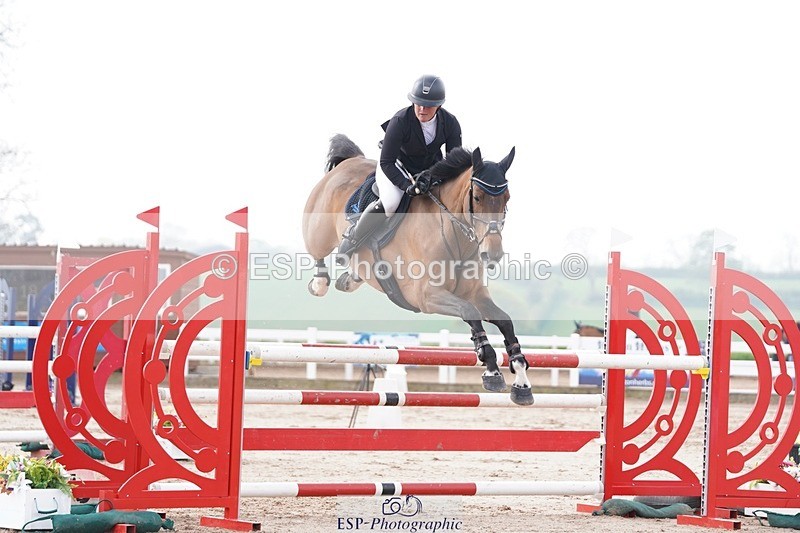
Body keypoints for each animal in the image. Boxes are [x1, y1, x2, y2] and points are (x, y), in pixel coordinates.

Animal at [303, 134, 532, 405]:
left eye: (507, 198)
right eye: (477, 198)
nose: (493, 254)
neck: (453, 235)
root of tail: (351, 160)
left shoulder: (476, 295)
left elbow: (504, 321)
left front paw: (521, 379)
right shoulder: (427, 296)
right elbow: (470, 312)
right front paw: (491, 368)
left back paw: (350, 279)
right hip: (318, 233)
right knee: (318, 253)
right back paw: (321, 281)